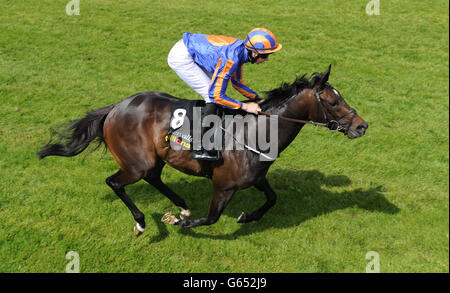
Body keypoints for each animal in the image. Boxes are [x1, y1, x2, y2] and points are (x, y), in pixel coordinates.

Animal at [37, 64, 370, 235]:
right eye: (333, 101)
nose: (362, 126)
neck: (256, 131)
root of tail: (115, 107)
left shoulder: (257, 177)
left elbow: (273, 198)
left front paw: (247, 217)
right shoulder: (224, 186)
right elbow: (211, 218)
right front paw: (182, 223)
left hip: (154, 158)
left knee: (154, 178)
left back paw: (181, 205)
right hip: (136, 163)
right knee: (115, 182)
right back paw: (142, 222)